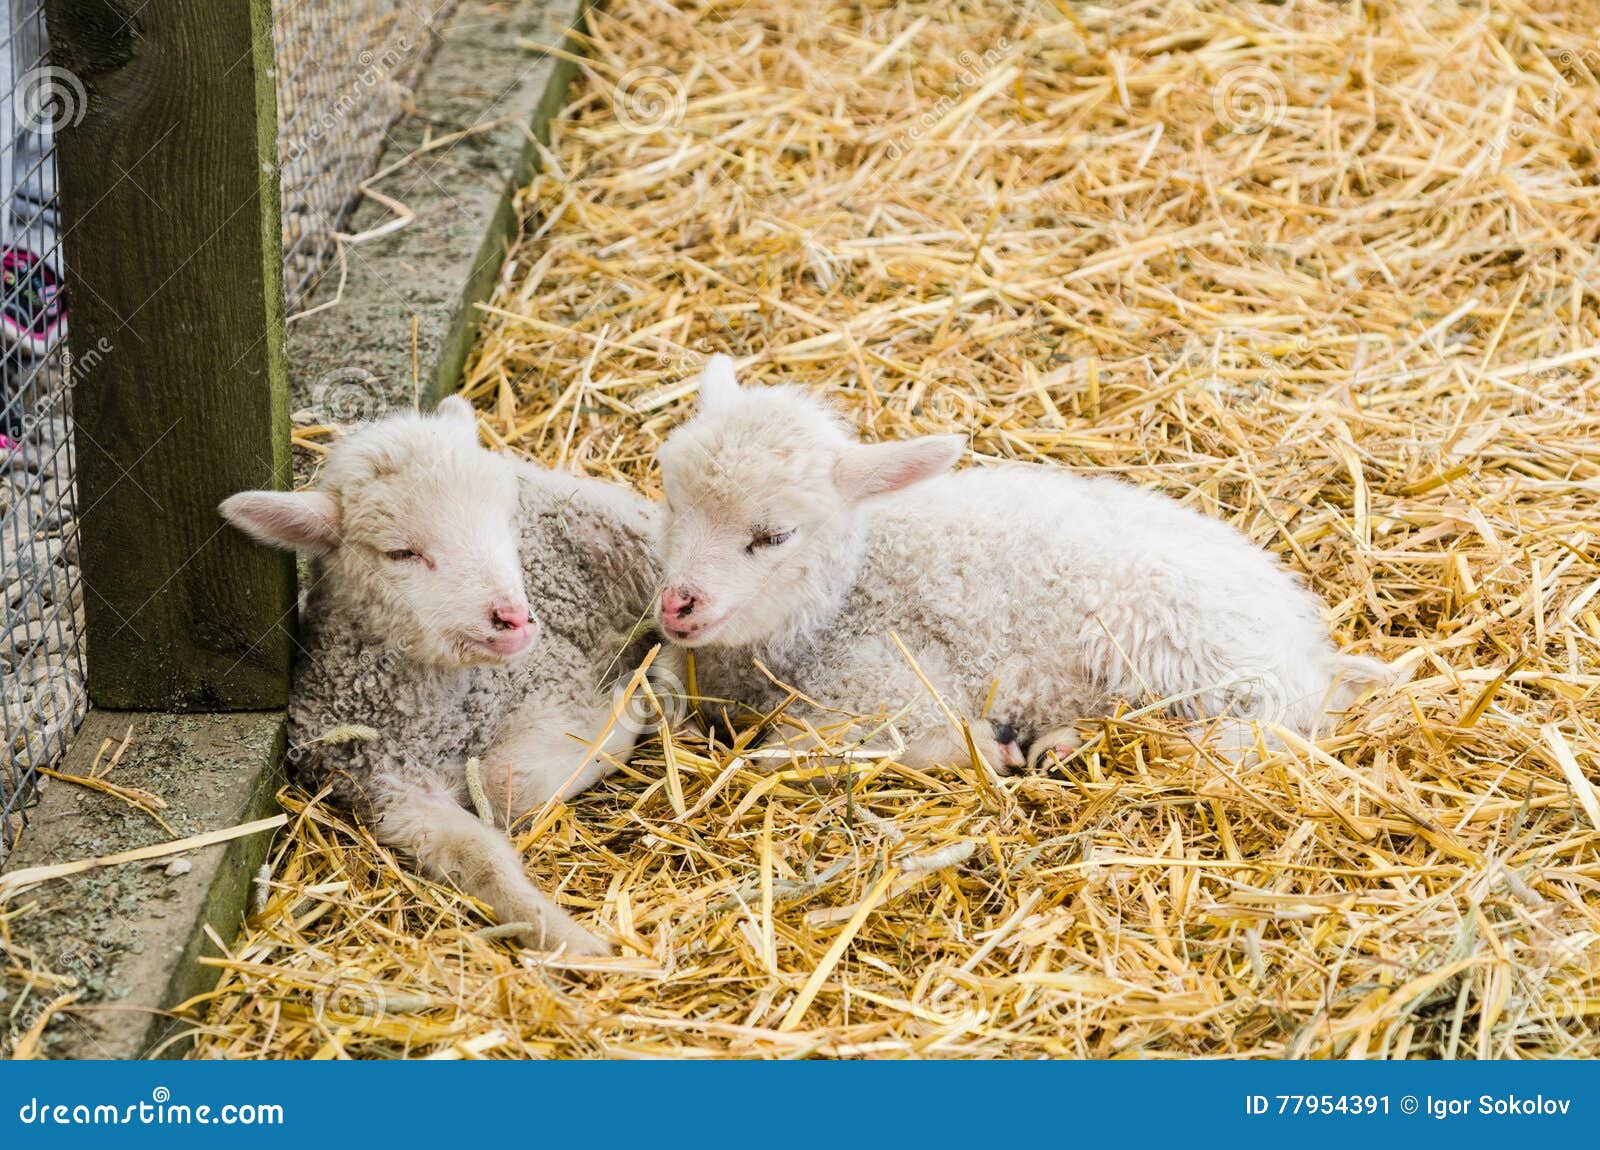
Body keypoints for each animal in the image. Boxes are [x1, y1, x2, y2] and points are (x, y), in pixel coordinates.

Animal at [220, 398, 664, 956]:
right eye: (400, 552)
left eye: (502, 522)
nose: (514, 618)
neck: (443, 712)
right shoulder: (392, 795)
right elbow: (482, 852)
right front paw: (570, 942)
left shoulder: (554, 682)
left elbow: (507, 782)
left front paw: (631, 703)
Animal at [653, 356, 1395, 770]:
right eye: (671, 499)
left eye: (776, 535)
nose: (677, 604)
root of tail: (1310, 645)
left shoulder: (888, 682)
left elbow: (783, 754)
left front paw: (983, 747)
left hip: (1175, 637)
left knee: (1267, 728)